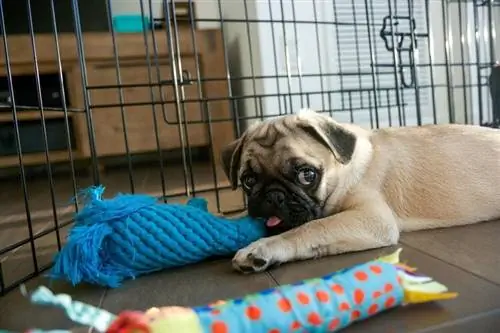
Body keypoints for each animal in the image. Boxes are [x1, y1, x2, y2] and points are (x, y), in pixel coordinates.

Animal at [222, 109, 500, 272]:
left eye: (307, 175)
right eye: (248, 180)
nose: (273, 195)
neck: (341, 172)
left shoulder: (372, 218)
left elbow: (311, 228)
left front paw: (262, 248)